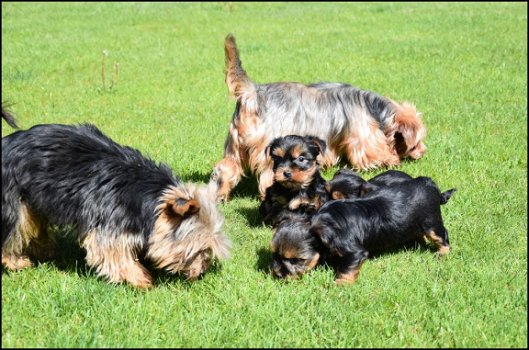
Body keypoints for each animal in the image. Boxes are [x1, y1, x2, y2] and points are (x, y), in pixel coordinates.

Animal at [1, 113, 229, 288]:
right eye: (199, 250)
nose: (202, 273)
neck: (150, 200)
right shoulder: (108, 225)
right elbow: (115, 255)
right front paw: (143, 280)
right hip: (12, 200)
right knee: (14, 228)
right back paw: (16, 263)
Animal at [209, 34, 424, 202]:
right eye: (418, 142)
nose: (423, 153)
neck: (376, 110)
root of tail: (252, 93)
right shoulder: (363, 137)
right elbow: (374, 153)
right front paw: (393, 160)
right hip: (269, 151)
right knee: (270, 176)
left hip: (235, 146)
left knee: (225, 169)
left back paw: (220, 195)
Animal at [310, 176, 454, 286]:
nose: (317, 201)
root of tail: (430, 184)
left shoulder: (354, 251)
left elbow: (347, 268)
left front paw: (340, 284)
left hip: (431, 222)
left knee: (442, 235)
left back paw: (442, 254)